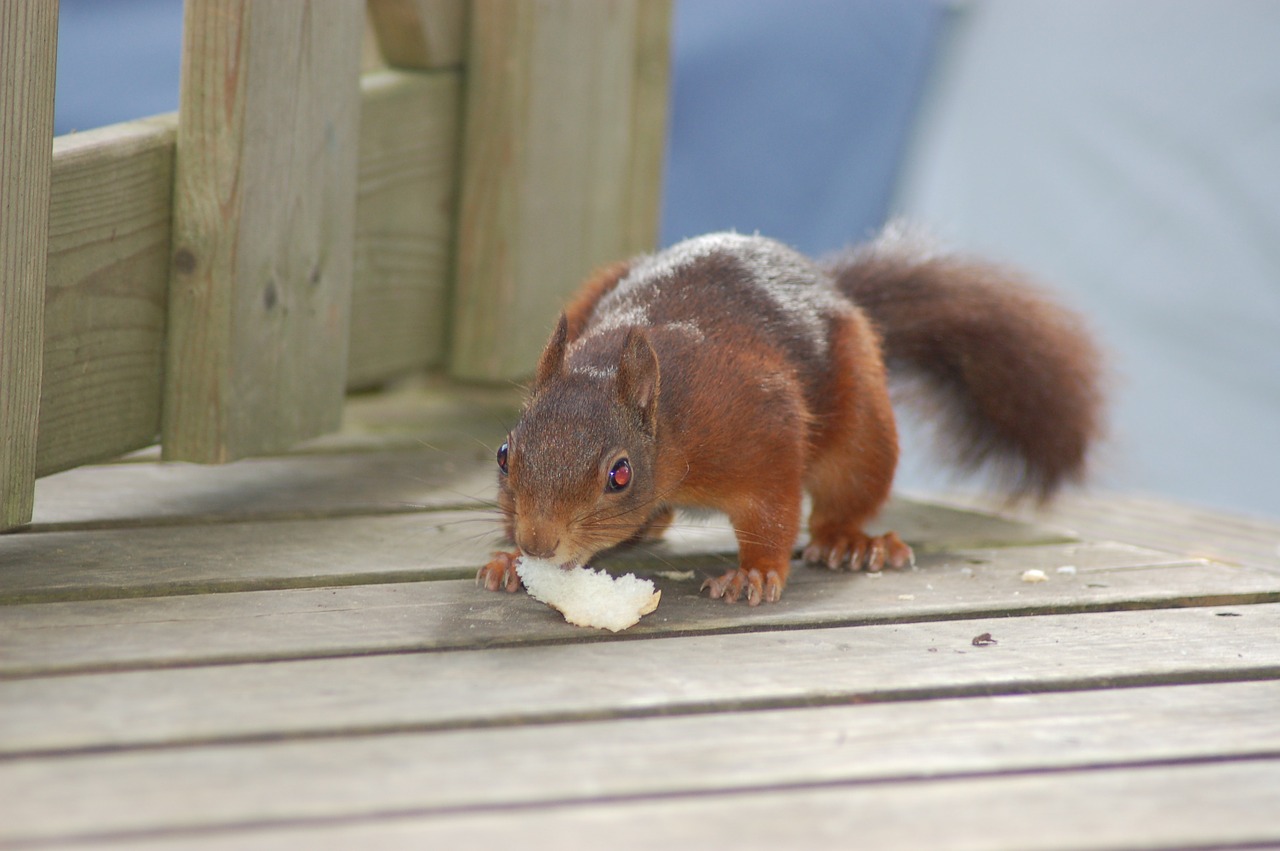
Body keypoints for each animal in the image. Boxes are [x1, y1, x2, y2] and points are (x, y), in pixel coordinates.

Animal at [476, 225, 1105, 604]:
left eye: (620, 474)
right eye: (504, 455)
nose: (537, 543)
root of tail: (833, 287)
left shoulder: (761, 423)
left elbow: (772, 511)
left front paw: (755, 572)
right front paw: (508, 561)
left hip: (863, 432)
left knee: (845, 495)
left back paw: (852, 541)